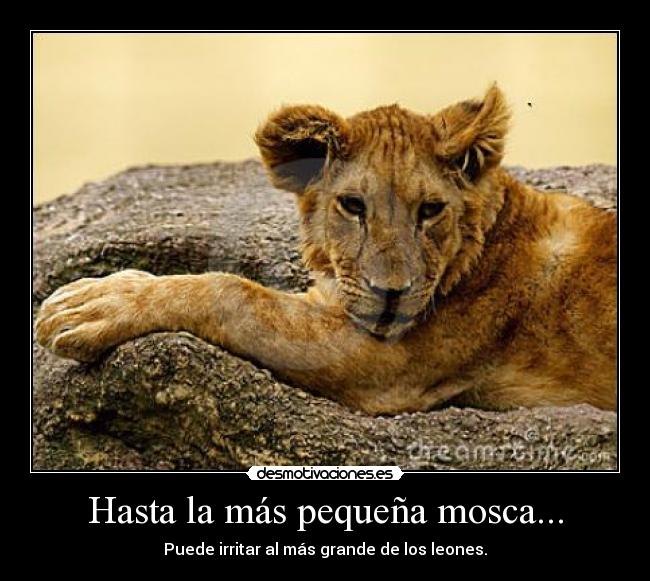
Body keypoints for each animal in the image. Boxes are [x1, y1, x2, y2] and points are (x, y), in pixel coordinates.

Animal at [35, 84, 617, 415]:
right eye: (353, 206)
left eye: (430, 210)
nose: (391, 294)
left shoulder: (382, 363)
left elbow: (234, 292)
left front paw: (92, 306)